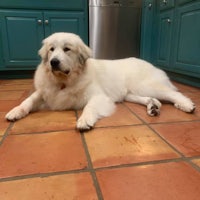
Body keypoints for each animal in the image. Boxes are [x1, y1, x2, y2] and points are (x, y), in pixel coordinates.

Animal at [5, 32, 195, 130]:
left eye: (67, 49)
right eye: (52, 49)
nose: (54, 62)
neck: (64, 81)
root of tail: (147, 62)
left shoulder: (99, 97)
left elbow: (89, 107)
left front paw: (84, 121)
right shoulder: (44, 92)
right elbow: (28, 100)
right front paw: (15, 111)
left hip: (144, 86)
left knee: (173, 94)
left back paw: (186, 105)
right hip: (130, 94)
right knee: (154, 99)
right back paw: (153, 107)